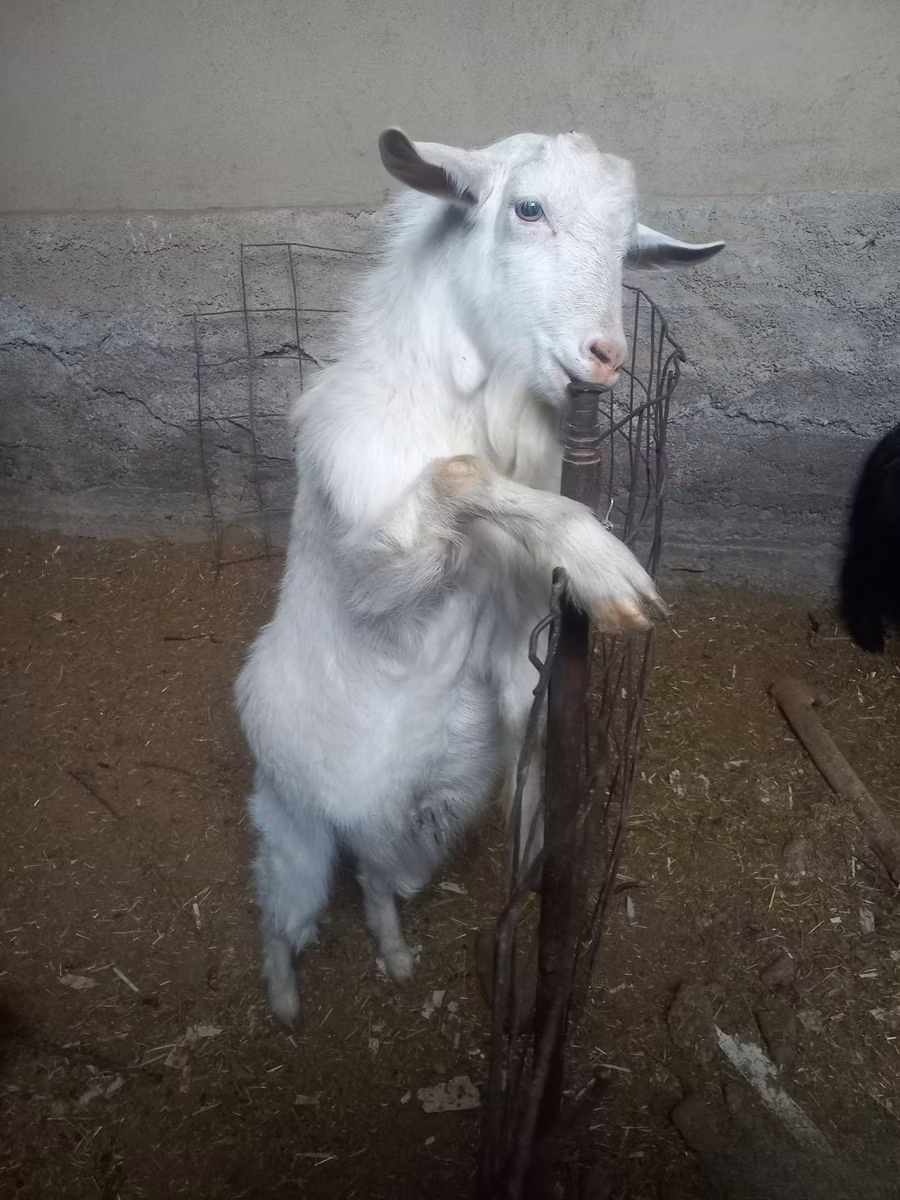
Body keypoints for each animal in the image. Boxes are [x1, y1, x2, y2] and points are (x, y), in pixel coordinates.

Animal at [235, 128, 724, 1024]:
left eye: (629, 242)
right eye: (528, 208)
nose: (607, 356)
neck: (460, 403)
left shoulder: (522, 637)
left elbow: (538, 732)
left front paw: (538, 867)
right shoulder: (375, 567)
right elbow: (458, 474)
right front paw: (608, 568)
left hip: (416, 835)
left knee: (377, 882)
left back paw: (395, 956)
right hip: (294, 832)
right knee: (281, 914)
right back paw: (284, 999)